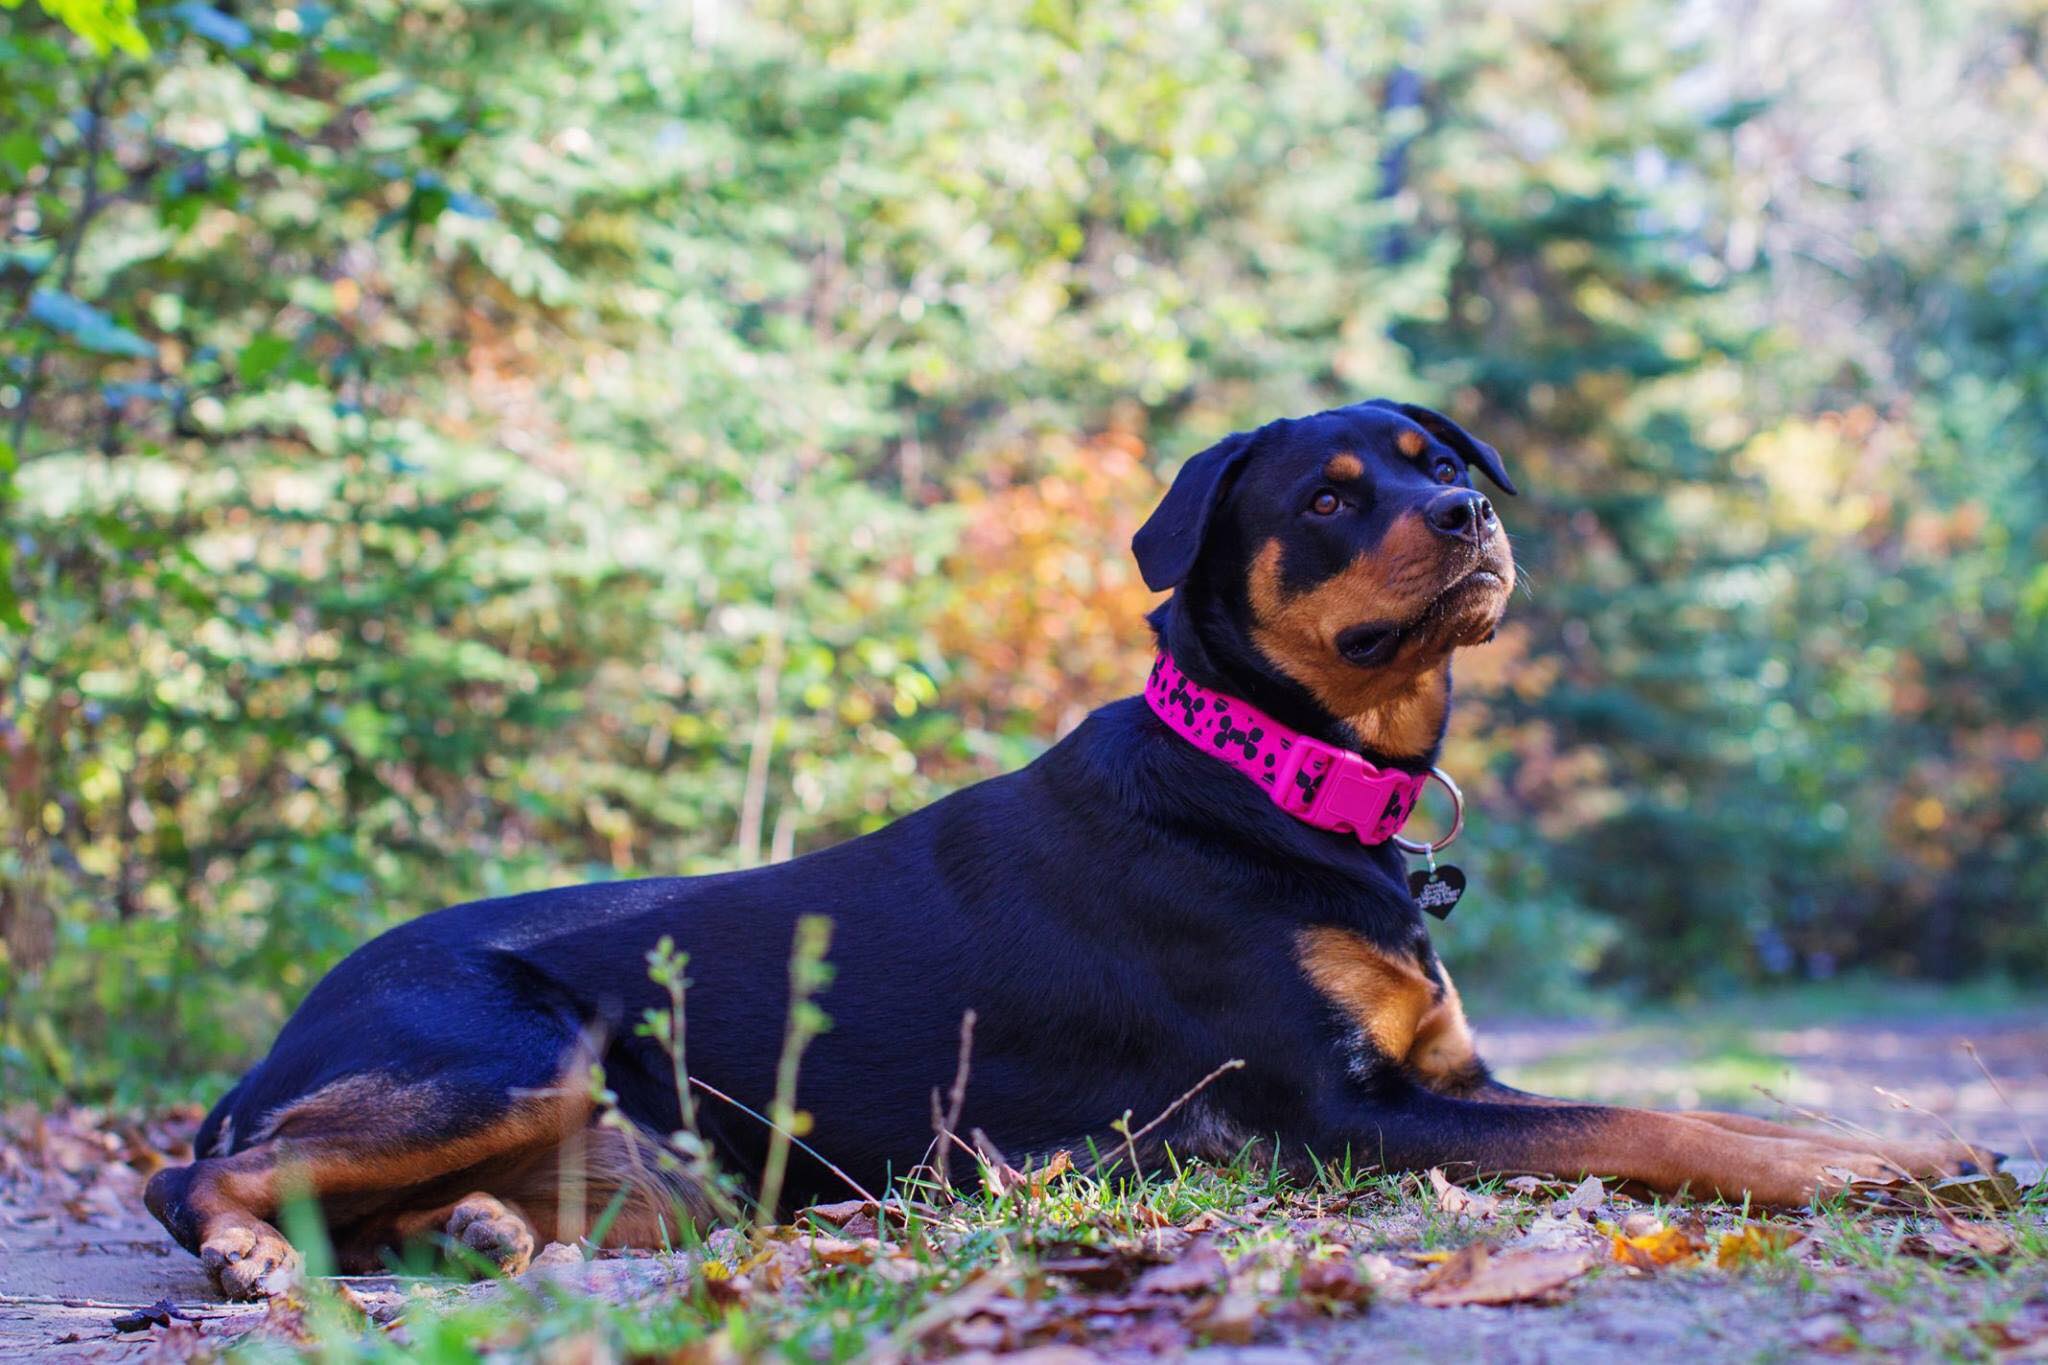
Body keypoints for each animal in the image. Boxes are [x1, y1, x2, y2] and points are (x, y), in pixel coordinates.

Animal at [140, 401, 1982, 1301]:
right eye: (1326, 498)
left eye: (1435, 460)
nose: (1466, 515)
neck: (1278, 777)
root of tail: (280, 1030)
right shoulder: (1353, 1117)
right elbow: (1662, 1119)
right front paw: (1868, 1167)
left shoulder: (1444, 1073)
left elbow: (1693, 1111)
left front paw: (1884, 1150)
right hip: (519, 1049)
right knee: (194, 1174)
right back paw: (253, 1245)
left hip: (653, 1164)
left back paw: (473, 1236)